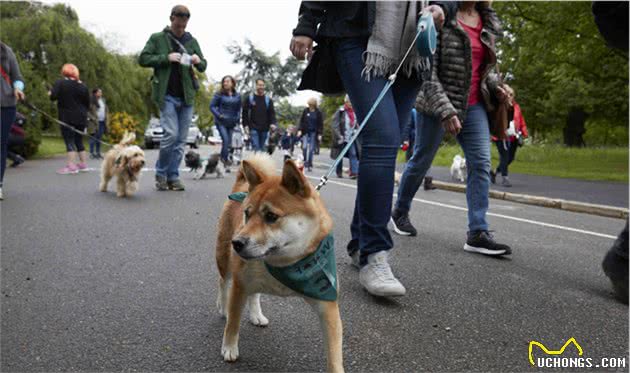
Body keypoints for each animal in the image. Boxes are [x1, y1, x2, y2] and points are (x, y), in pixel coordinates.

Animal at [216, 153, 346, 372]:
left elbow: (334, 352)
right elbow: (233, 322)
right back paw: (223, 307)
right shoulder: (240, 285)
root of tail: (241, 185)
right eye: (247, 214)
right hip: (224, 261)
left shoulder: (326, 300)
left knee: (254, 294)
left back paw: (256, 315)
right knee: (223, 283)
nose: (237, 243)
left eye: (271, 216)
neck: (286, 263)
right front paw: (229, 348)